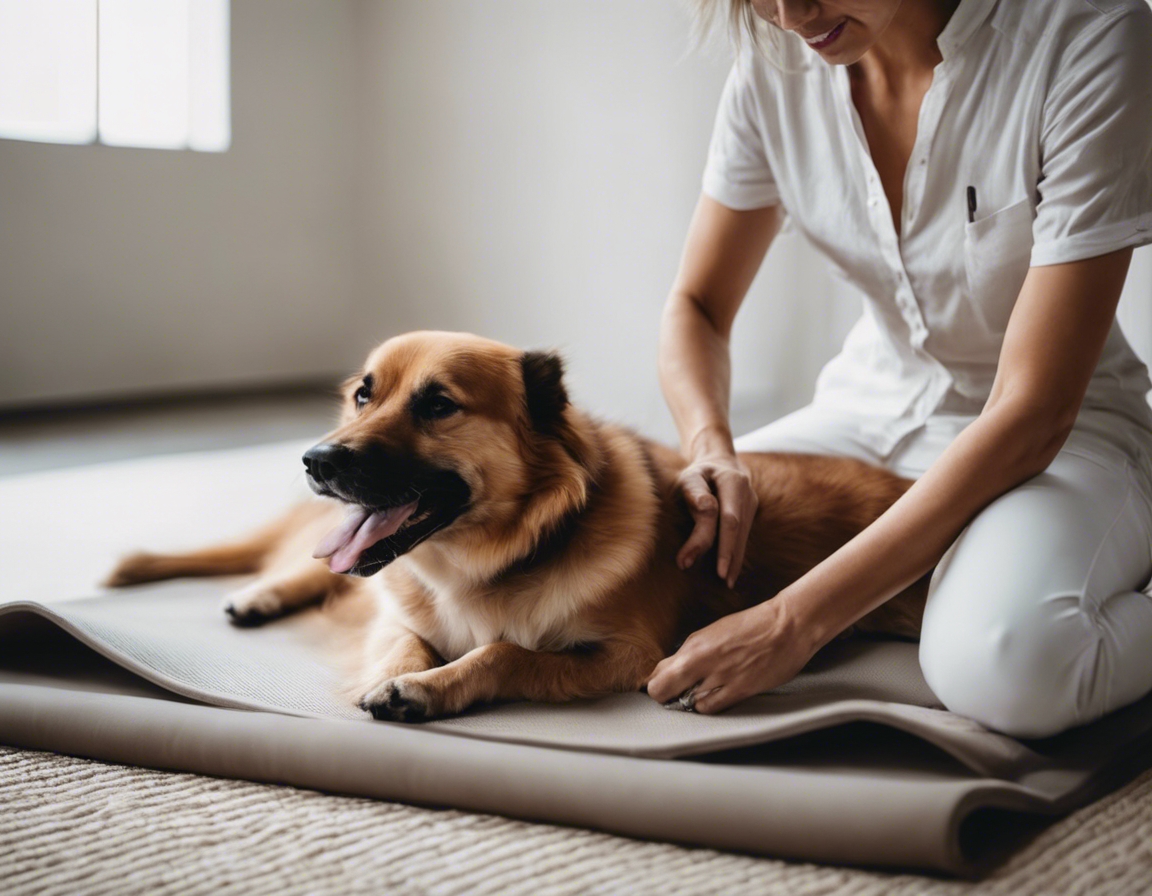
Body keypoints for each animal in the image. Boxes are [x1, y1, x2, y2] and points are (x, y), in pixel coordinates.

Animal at [108, 331, 930, 723]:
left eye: (438, 404)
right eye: (363, 395)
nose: (316, 460)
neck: (490, 557)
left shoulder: (627, 657)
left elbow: (504, 653)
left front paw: (427, 689)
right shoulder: (399, 613)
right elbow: (404, 639)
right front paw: (403, 676)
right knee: (311, 569)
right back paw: (258, 597)